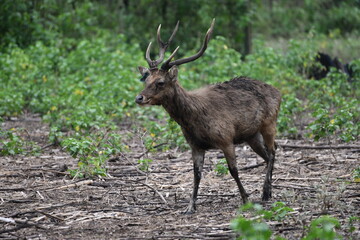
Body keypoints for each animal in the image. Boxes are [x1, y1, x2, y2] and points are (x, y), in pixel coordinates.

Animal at [135, 19, 282, 214]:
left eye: (160, 82)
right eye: (145, 79)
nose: (139, 98)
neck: (193, 121)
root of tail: (278, 92)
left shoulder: (226, 139)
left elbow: (233, 170)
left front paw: (245, 199)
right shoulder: (195, 145)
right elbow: (196, 174)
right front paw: (190, 206)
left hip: (269, 123)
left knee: (273, 152)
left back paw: (265, 192)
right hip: (251, 135)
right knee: (268, 154)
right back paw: (269, 191)